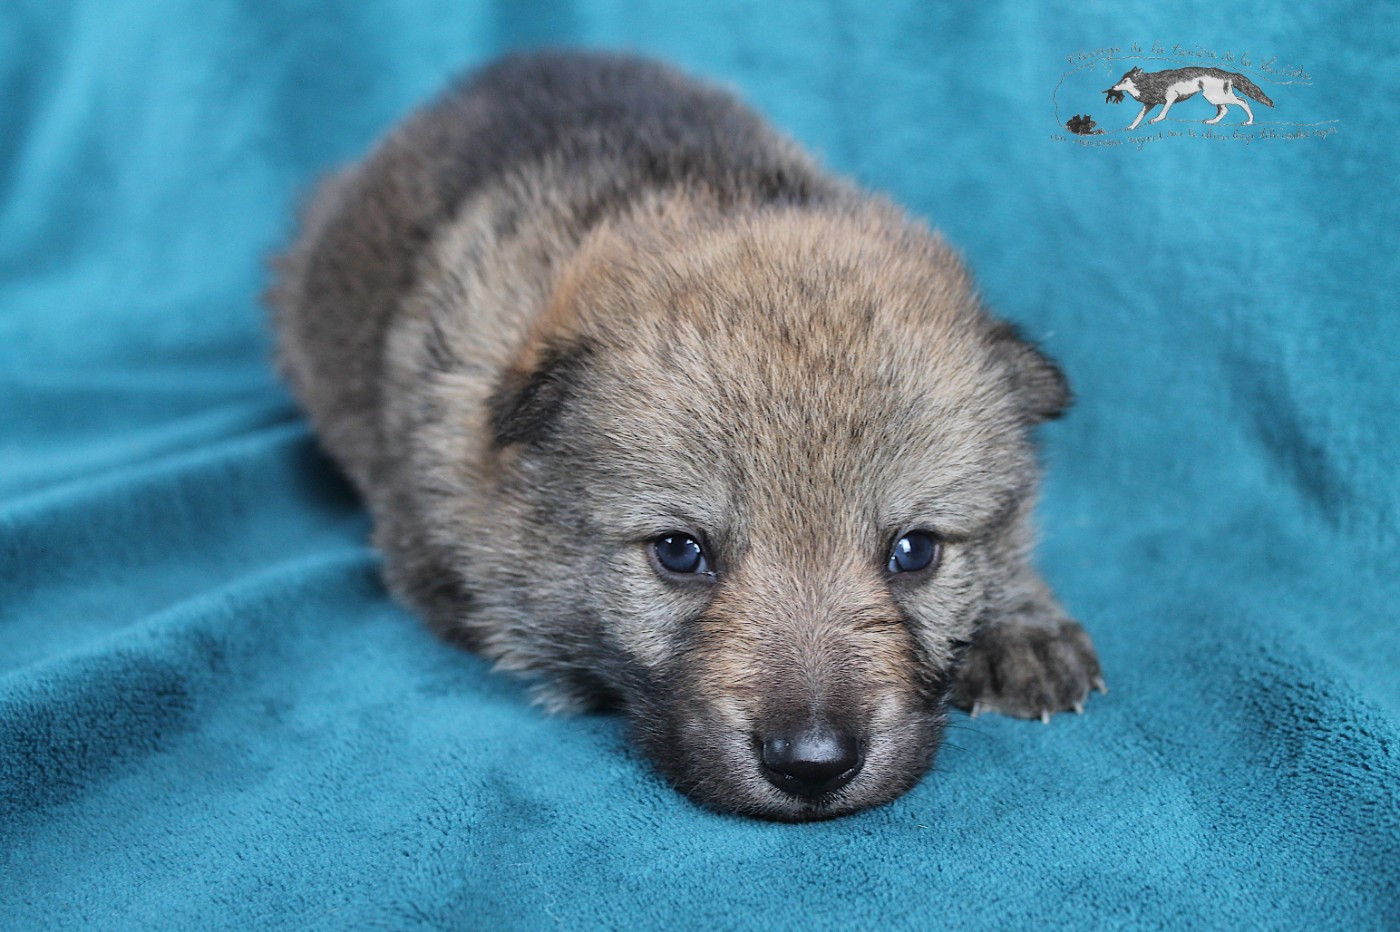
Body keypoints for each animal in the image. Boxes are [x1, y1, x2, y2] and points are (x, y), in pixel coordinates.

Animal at [1105, 65, 1275, 130]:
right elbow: (1139, 116)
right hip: (1214, 97)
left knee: (1242, 101)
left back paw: (1249, 121)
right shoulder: (1149, 104)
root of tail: (1228, 74)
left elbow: (1163, 114)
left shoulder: (1171, 97)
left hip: (1215, 97)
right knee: (1224, 110)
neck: (1148, 83)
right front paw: (1131, 127)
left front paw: (1155, 120)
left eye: (1124, 81)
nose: (1112, 87)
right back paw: (1211, 122)